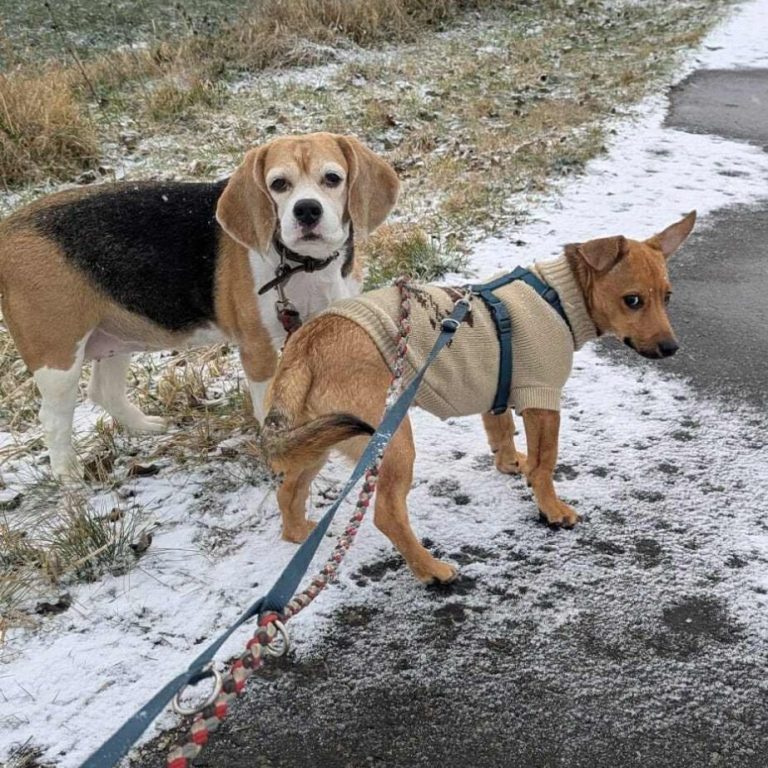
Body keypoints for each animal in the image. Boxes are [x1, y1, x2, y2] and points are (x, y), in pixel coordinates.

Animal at [0, 132, 399, 480]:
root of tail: (8, 227)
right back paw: (70, 479)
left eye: (332, 178)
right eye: (278, 184)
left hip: (115, 334)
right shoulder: (258, 351)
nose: (307, 211)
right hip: (58, 358)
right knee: (53, 418)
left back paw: (145, 427)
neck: (303, 264)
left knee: (103, 390)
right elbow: (267, 406)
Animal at [261, 212, 696, 585]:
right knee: (386, 514)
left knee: (289, 490)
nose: (672, 348)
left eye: (667, 297)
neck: (558, 296)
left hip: (318, 441)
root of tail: (306, 343)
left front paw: (511, 464)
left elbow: (501, 433)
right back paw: (430, 569)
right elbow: (545, 463)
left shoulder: (497, 391)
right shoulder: (542, 400)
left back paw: (300, 534)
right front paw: (552, 509)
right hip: (391, 442)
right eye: (632, 300)